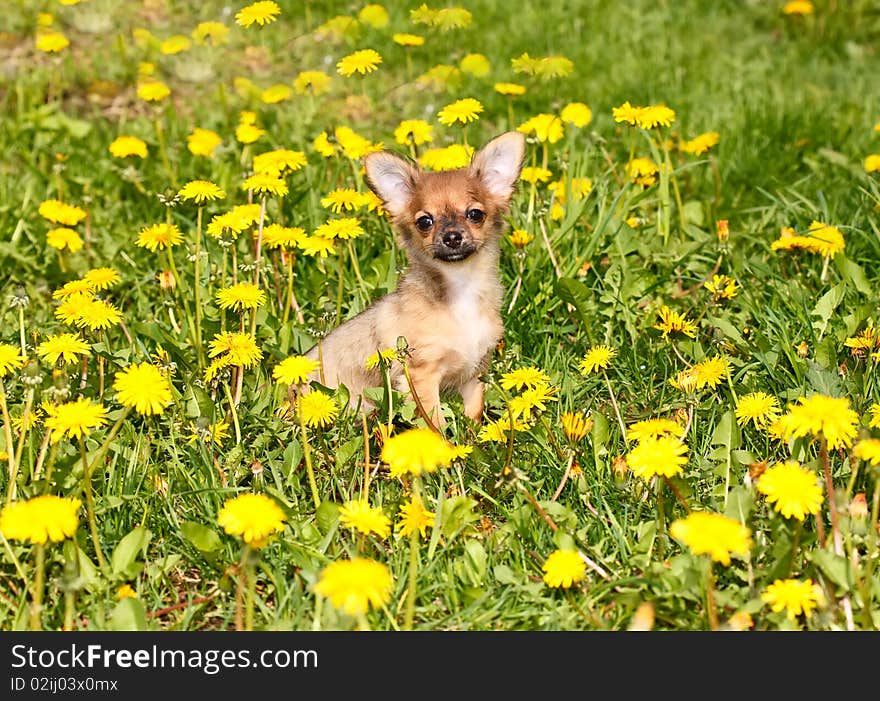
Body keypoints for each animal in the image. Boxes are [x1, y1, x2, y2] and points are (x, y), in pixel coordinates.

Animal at [302, 131, 524, 426]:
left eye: (475, 214)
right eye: (424, 222)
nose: (452, 237)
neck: (462, 290)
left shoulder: (475, 373)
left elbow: (474, 413)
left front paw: (476, 436)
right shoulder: (422, 375)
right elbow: (434, 421)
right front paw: (442, 440)